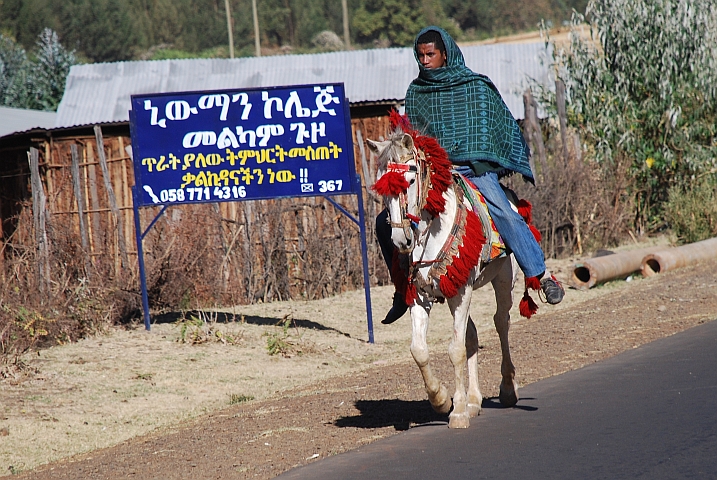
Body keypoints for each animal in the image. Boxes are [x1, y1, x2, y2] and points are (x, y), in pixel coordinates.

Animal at [370, 128, 520, 432]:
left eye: (410, 179)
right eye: (382, 187)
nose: (400, 240)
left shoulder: (461, 291)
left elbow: (455, 350)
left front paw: (458, 412)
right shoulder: (420, 296)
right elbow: (419, 349)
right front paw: (441, 399)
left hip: (502, 279)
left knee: (501, 322)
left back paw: (508, 388)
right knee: (472, 335)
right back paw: (474, 400)